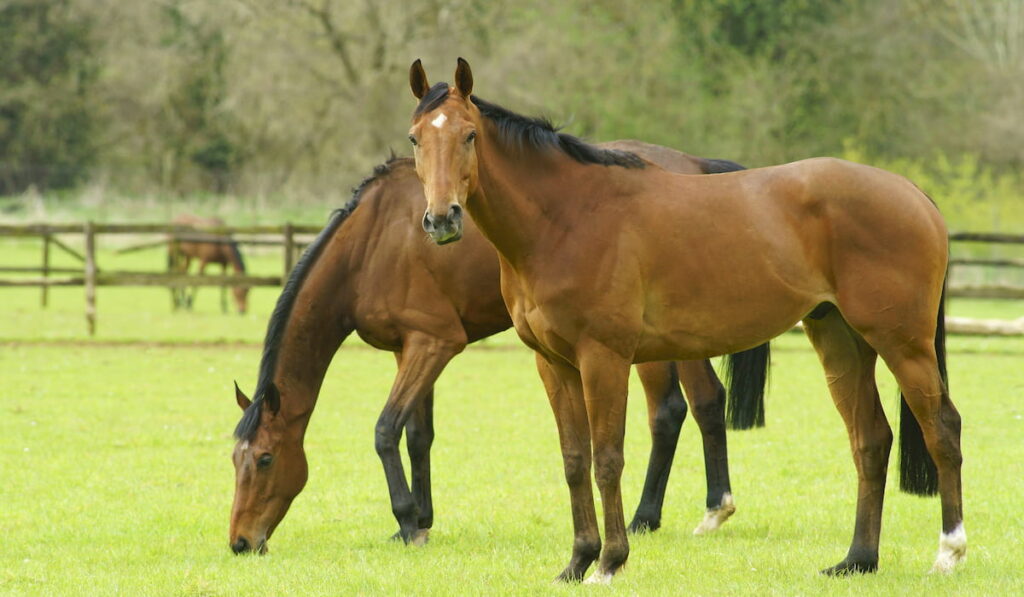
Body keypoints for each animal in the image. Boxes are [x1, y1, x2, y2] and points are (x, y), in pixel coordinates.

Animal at [226, 148, 770, 557]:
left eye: (267, 459)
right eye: (235, 460)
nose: (240, 542)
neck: (373, 244)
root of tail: (695, 165)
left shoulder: (434, 343)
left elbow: (385, 431)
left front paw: (406, 521)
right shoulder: (410, 350)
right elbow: (417, 435)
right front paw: (420, 519)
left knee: (681, 408)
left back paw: (673, 512)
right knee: (693, 405)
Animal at [403, 60, 962, 585]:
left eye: (469, 135)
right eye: (415, 138)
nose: (442, 219)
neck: (566, 217)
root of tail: (913, 193)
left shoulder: (603, 358)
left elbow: (608, 459)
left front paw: (609, 562)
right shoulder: (554, 364)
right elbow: (574, 460)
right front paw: (576, 562)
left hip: (903, 345)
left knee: (942, 430)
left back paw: (948, 553)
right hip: (841, 342)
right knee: (871, 440)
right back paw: (857, 561)